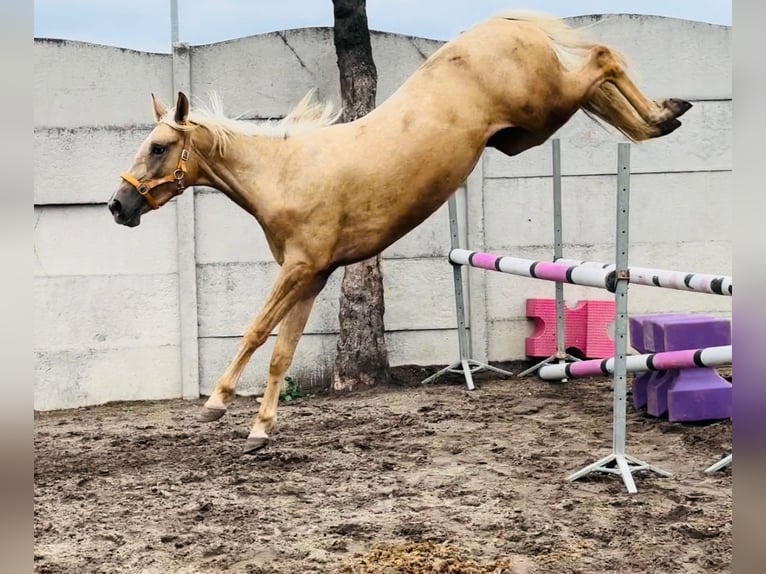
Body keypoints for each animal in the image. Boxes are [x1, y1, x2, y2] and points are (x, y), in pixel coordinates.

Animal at [111, 10, 692, 454]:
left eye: (158, 146)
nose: (119, 205)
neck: (286, 173)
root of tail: (505, 22)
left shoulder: (298, 268)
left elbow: (255, 332)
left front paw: (215, 403)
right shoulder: (313, 276)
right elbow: (281, 352)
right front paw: (259, 431)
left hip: (544, 106)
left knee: (602, 59)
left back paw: (666, 112)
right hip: (529, 130)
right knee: (603, 86)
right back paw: (663, 115)